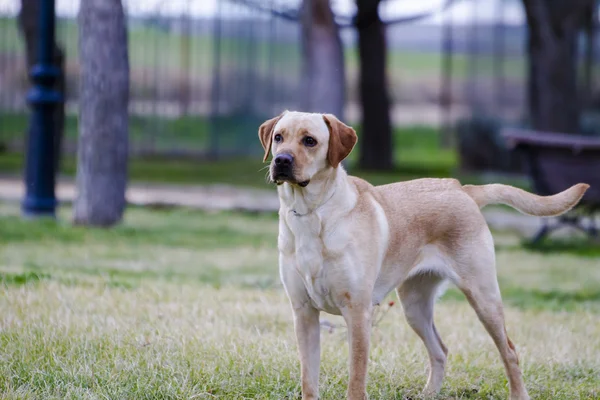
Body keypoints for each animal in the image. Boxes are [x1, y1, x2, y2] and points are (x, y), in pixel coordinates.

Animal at [258, 110, 592, 400]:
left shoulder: (357, 312)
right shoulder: (303, 313)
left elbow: (356, 381)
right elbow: (309, 381)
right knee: (440, 351)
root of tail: (462, 188)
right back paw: (429, 394)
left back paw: (518, 394)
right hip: (415, 307)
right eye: (279, 137)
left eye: (310, 140)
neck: (311, 214)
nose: (281, 160)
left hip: (483, 297)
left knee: (509, 351)